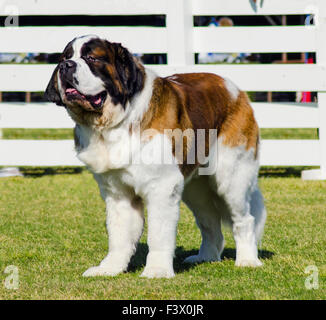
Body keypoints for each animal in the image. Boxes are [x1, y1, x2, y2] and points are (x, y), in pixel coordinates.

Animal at [44, 33, 266, 276]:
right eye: (64, 57)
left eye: (92, 58)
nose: (66, 65)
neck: (114, 123)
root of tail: (236, 91)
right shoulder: (118, 192)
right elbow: (119, 234)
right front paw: (110, 268)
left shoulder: (162, 186)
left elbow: (158, 234)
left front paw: (157, 270)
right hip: (196, 189)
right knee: (209, 221)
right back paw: (206, 256)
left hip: (231, 179)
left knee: (244, 219)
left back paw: (247, 260)